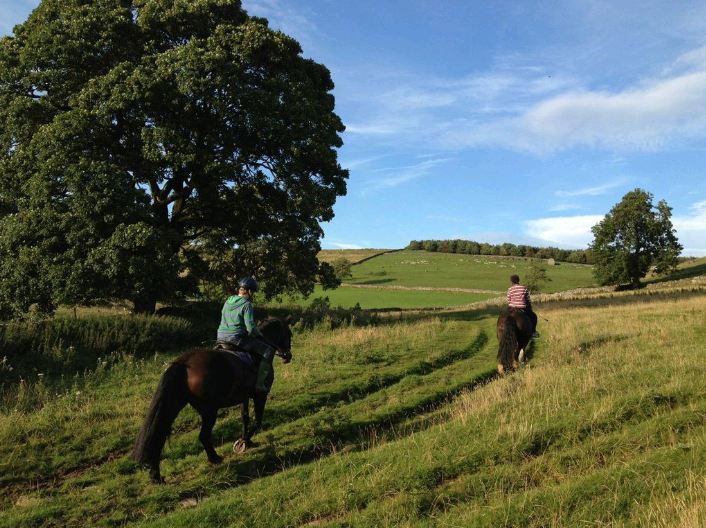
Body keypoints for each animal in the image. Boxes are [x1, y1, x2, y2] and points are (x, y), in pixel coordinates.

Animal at [132, 318, 292, 482]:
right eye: (289, 334)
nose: (288, 355)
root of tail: (184, 363)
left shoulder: (244, 397)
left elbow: (245, 418)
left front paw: (248, 441)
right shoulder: (260, 395)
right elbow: (257, 421)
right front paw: (244, 442)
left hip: (174, 405)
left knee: (159, 436)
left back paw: (155, 475)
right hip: (209, 411)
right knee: (203, 436)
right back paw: (215, 458)